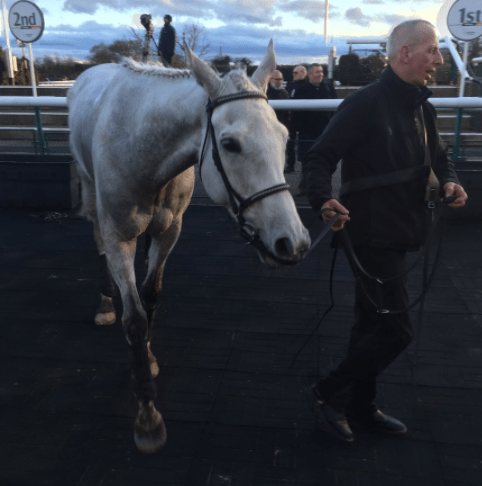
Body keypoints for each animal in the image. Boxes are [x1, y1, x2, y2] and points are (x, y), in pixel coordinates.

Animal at [67, 39, 308, 454]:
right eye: (229, 143)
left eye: (283, 135)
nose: (291, 242)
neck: (143, 146)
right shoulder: (119, 236)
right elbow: (134, 317)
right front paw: (147, 418)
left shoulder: (171, 230)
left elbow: (151, 295)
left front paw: (148, 355)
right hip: (89, 190)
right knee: (97, 242)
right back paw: (104, 303)